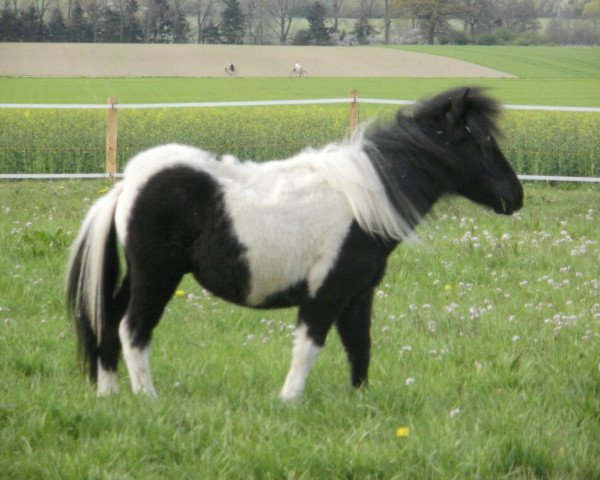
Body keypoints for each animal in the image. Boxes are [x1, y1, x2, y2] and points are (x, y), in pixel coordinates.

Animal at [67, 87, 520, 402]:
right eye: (479, 140)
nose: (515, 197)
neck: (363, 203)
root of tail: (127, 186)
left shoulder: (358, 296)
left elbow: (360, 347)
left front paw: (361, 401)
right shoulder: (325, 293)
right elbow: (308, 348)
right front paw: (288, 400)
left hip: (139, 276)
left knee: (108, 320)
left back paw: (109, 393)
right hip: (157, 276)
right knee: (132, 329)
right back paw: (148, 397)